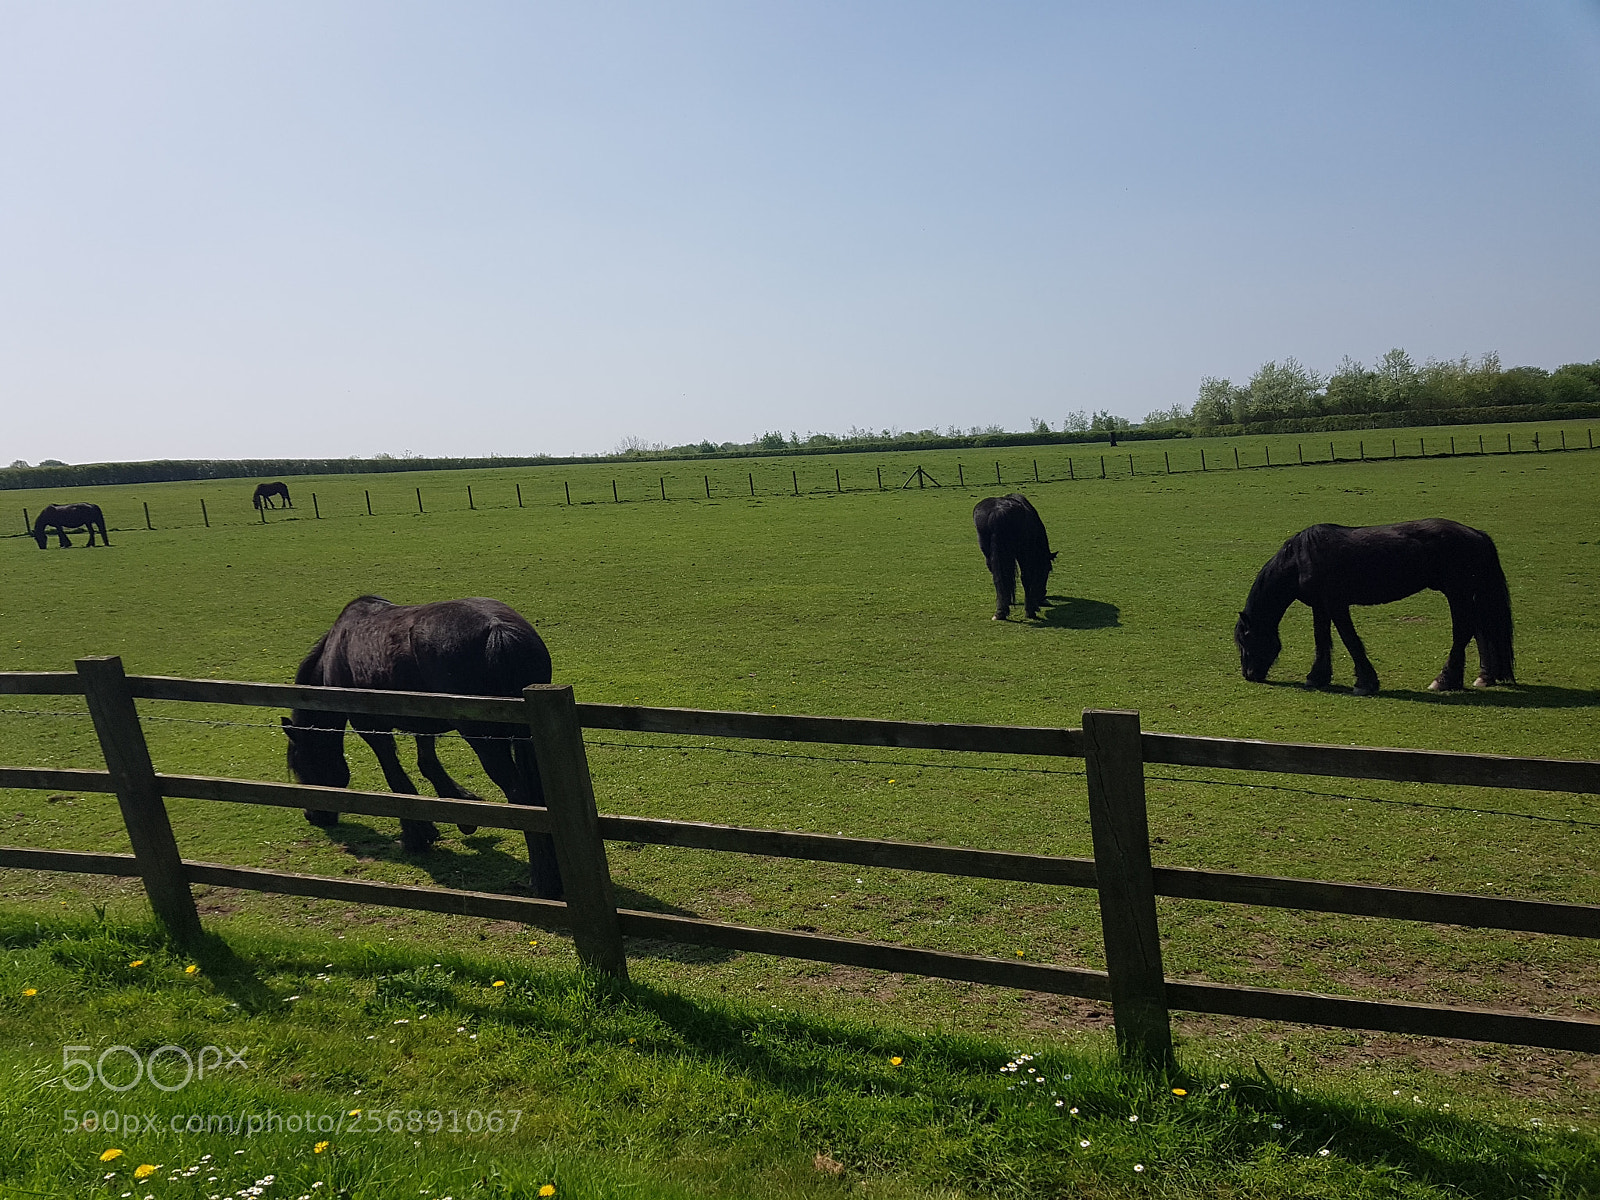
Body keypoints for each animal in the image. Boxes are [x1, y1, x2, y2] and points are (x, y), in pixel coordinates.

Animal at [282, 595, 562, 898]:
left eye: (302, 762)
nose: (313, 816)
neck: (338, 648)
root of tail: (499, 631)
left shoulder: (369, 726)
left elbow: (395, 776)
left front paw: (416, 835)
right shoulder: (423, 720)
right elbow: (427, 763)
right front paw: (460, 807)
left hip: (485, 741)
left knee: (521, 796)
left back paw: (542, 882)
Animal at [1234, 518, 1515, 696]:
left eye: (1247, 640)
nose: (1249, 674)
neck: (1300, 559)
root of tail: (1477, 534)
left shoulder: (1336, 604)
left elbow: (1349, 639)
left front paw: (1365, 682)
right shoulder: (1321, 607)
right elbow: (1321, 639)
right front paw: (1317, 677)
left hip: (1458, 593)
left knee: (1464, 631)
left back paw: (1444, 680)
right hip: (1469, 594)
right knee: (1480, 630)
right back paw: (1484, 676)